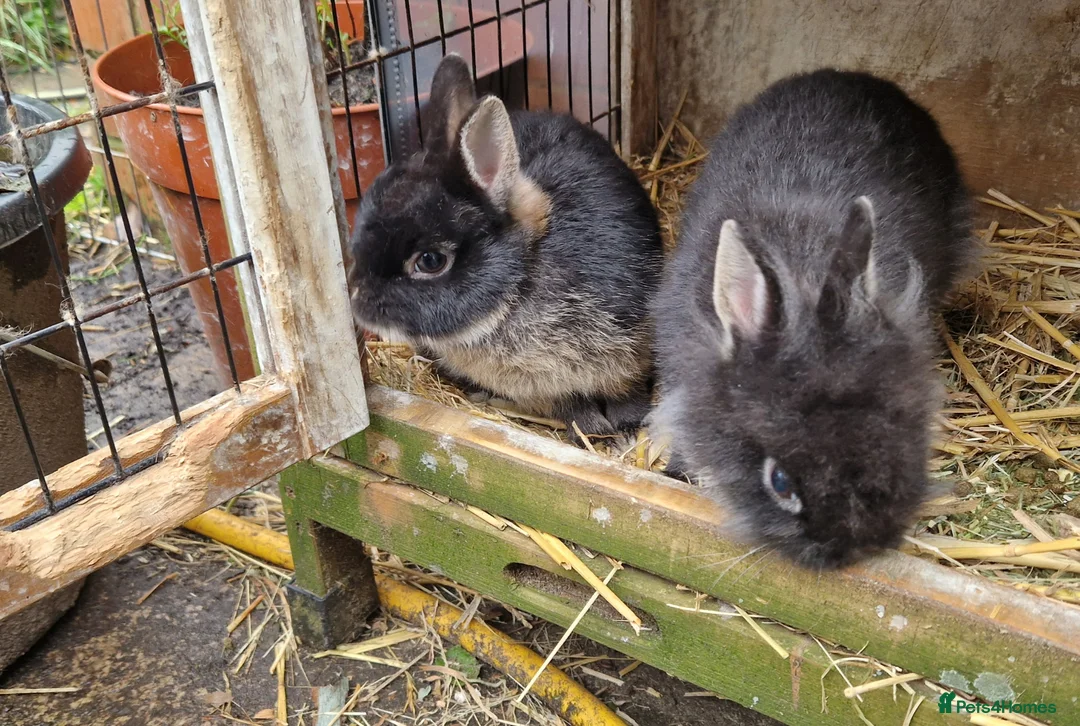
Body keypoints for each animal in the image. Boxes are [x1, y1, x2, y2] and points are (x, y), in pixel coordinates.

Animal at [348, 54, 663, 445]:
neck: (524, 274)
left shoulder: (633, 347)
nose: (357, 302)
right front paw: (591, 432)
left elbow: (628, 392)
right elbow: (572, 406)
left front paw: (626, 430)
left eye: (431, 260)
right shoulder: (548, 388)